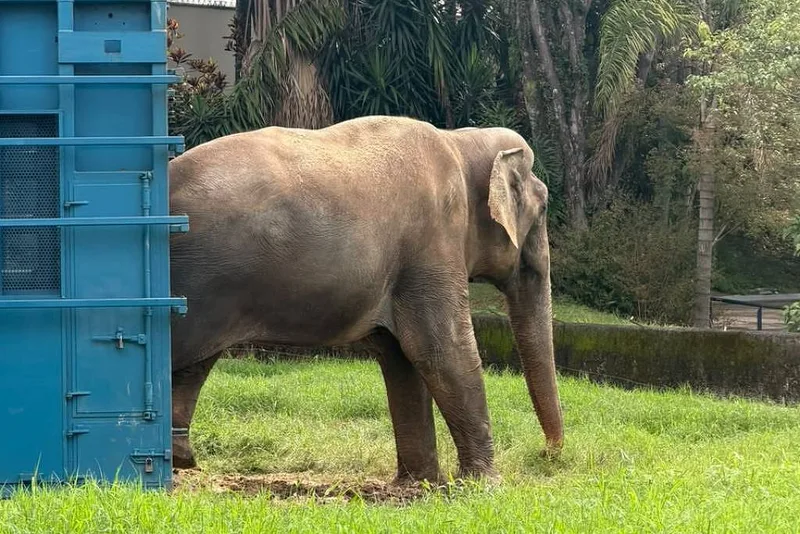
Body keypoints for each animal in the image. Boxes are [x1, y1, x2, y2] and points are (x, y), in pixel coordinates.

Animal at [168, 115, 564, 484]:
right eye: (544, 208)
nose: (547, 454)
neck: (460, 141)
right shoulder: (433, 242)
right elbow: (441, 348)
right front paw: (486, 485)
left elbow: (400, 358)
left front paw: (420, 482)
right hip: (196, 279)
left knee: (194, 364)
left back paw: (179, 459)